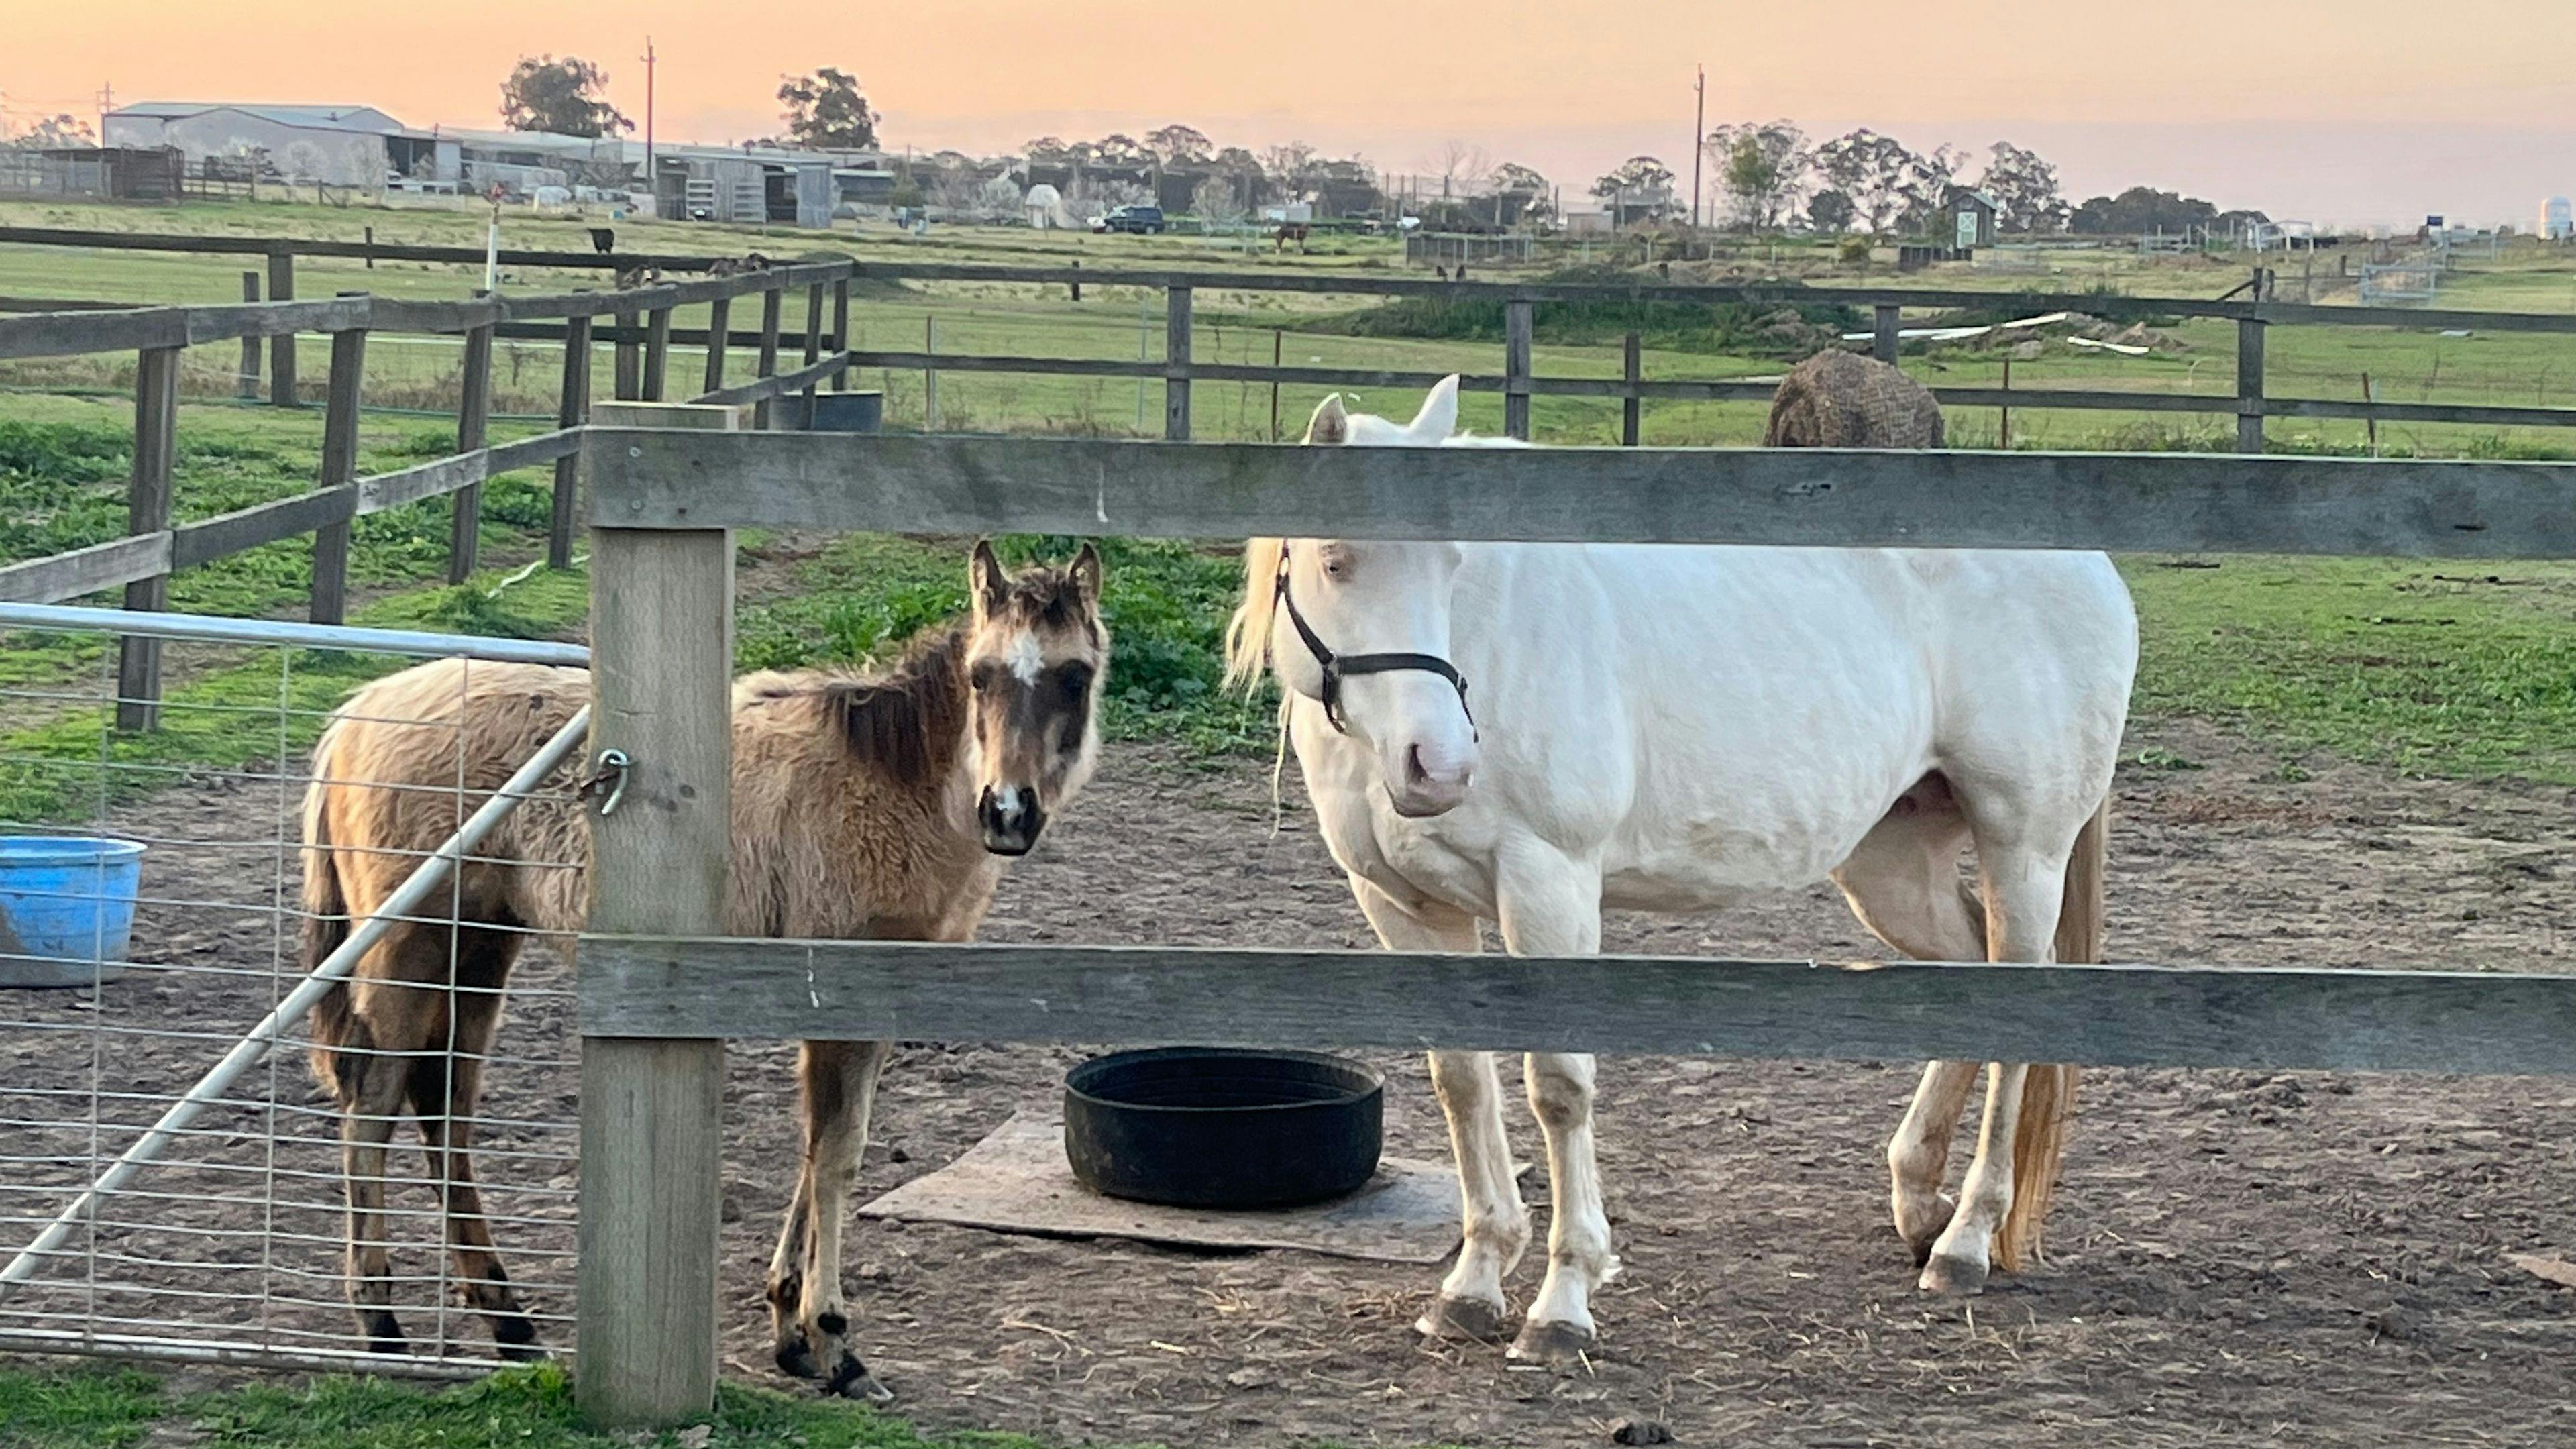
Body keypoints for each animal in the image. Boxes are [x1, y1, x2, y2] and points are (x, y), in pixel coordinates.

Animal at [299, 542, 1108, 1398]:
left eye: (1074, 676)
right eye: (982, 675)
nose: (1008, 812)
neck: (888, 782)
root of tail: (356, 712)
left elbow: (819, 1145)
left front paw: (791, 1328)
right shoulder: (836, 989)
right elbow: (837, 1153)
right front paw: (833, 1343)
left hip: (479, 948)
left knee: (443, 1105)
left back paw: (511, 1327)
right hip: (409, 949)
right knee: (374, 1106)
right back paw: (383, 1328)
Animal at [1223, 378, 2134, 1364]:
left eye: (1452, 565)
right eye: (1336, 560)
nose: (1440, 764)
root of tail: (2092, 566)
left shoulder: (1547, 890)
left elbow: (1558, 1087)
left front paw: (1563, 1302)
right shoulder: (1405, 907)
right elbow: (1462, 1082)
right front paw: (1472, 1285)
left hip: (2024, 849)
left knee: (2018, 1021)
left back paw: (1965, 1241)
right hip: (1893, 868)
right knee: (1967, 982)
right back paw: (1919, 1204)